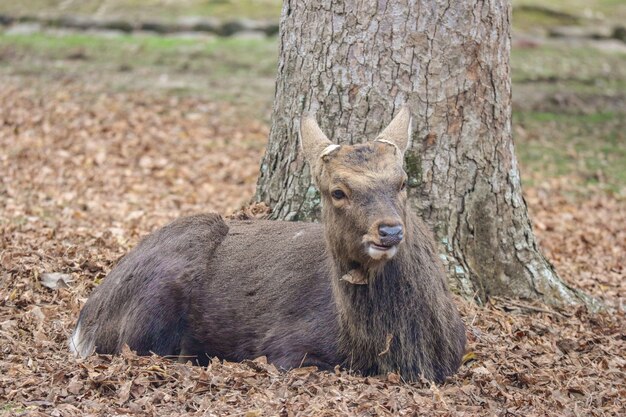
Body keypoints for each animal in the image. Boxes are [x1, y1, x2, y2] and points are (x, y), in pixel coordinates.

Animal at [70, 108, 466, 384]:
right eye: (337, 191)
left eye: (402, 182)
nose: (389, 231)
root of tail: (86, 320)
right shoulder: (284, 345)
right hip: (155, 297)